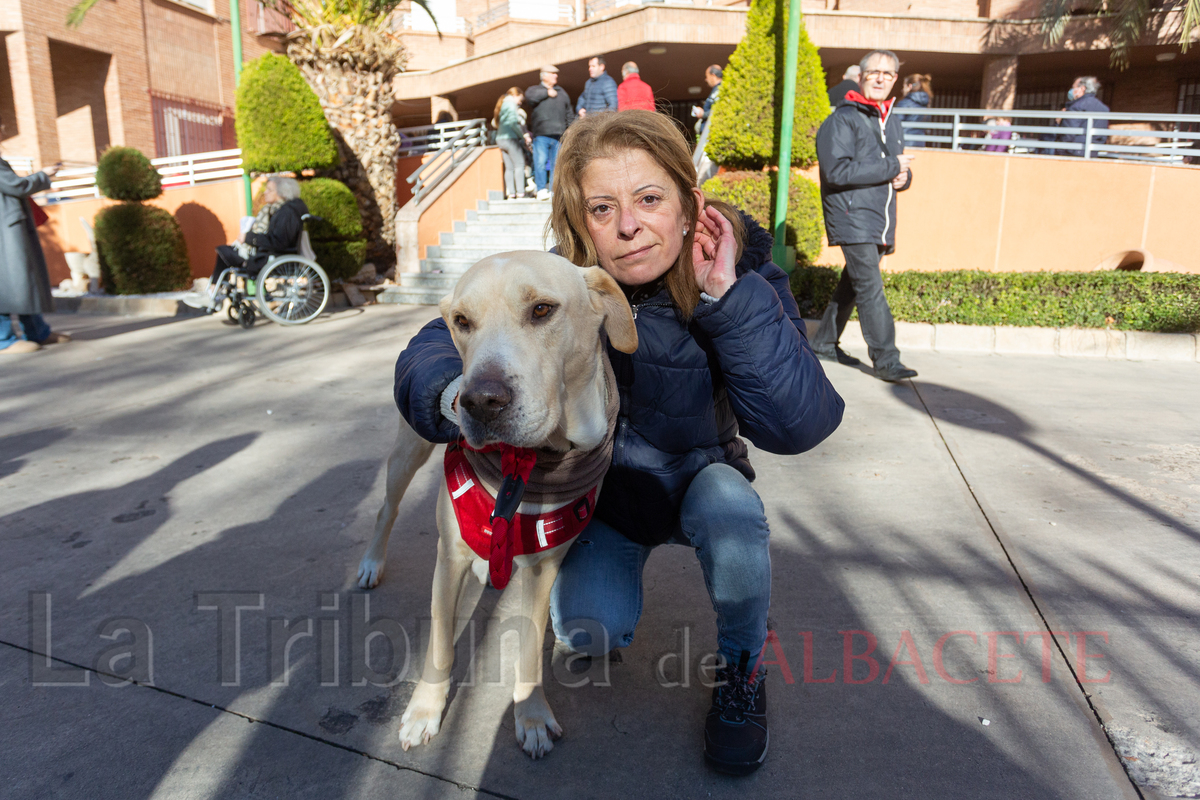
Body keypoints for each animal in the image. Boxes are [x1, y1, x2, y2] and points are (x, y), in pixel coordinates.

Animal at [355, 253, 638, 762]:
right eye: (462, 321)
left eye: (543, 310)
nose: (480, 401)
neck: (526, 468)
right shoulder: (449, 558)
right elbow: (440, 645)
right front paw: (425, 710)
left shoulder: (545, 567)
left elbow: (529, 646)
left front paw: (531, 714)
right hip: (408, 451)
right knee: (387, 509)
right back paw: (371, 563)